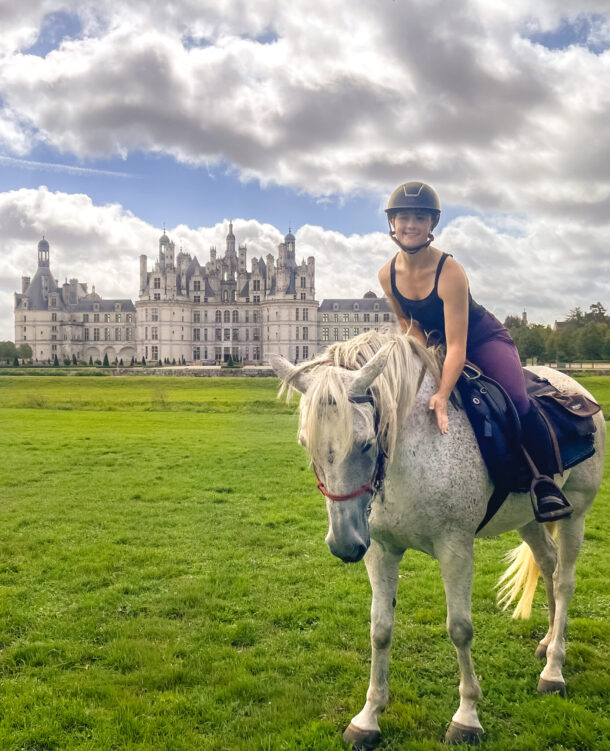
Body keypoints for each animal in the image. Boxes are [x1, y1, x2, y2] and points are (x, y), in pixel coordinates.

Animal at [269, 329, 605, 747]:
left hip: (575, 512)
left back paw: (554, 668)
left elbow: (460, 629)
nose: (345, 545)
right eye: (305, 442)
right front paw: (368, 717)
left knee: (563, 581)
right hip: (528, 518)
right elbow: (380, 630)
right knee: (547, 564)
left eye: (365, 443)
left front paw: (467, 716)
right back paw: (546, 643)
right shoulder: (380, 550)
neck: (412, 453)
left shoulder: (455, 548)